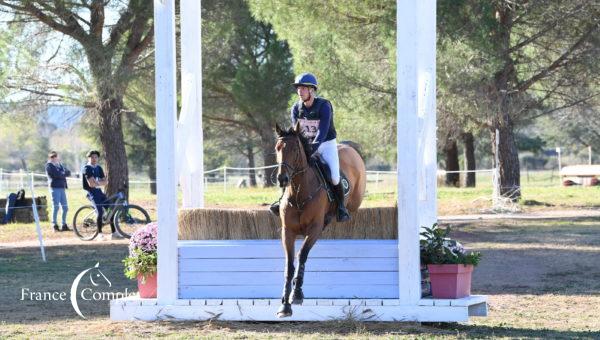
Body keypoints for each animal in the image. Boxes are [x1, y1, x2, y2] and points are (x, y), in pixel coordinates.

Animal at [276, 121, 368, 318]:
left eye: (295, 149)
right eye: (277, 148)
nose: (282, 179)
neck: (299, 192)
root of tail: (348, 147)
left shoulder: (314, 229)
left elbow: (302, 255)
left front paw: (296, 294)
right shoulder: (288, 231)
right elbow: (289, 264)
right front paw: (285, 305)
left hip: (355, 200)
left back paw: (342, 212)